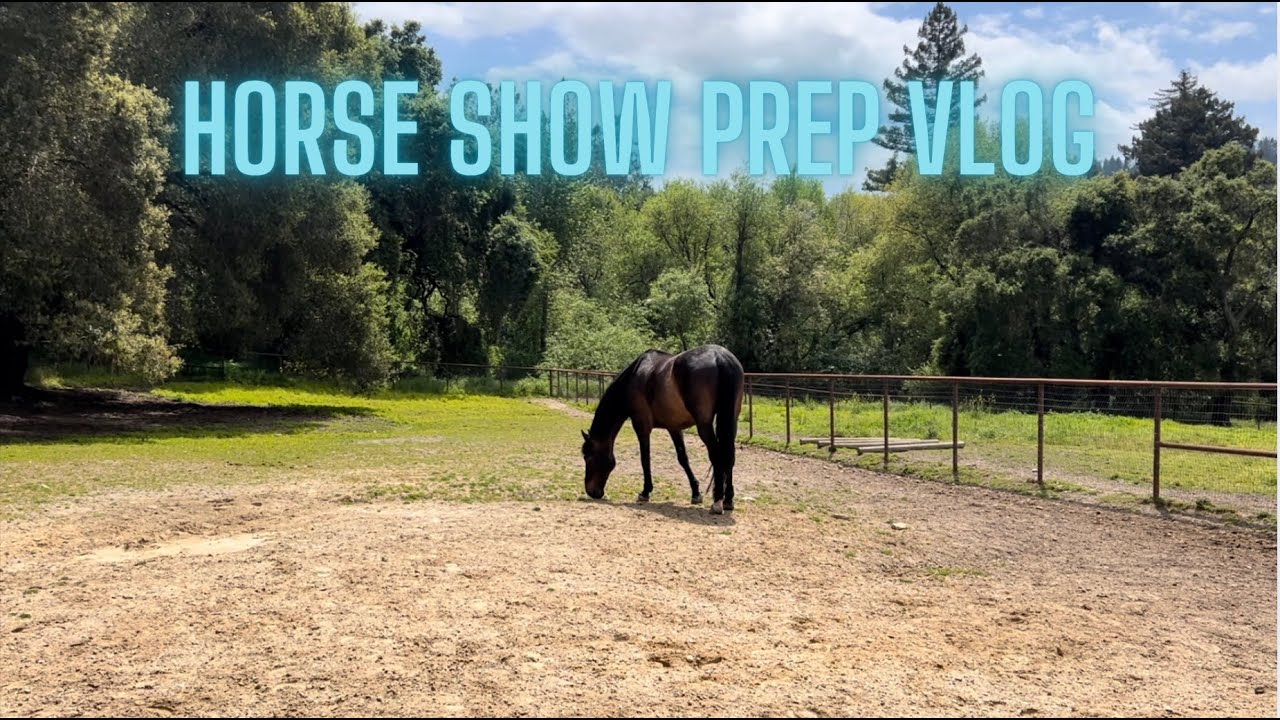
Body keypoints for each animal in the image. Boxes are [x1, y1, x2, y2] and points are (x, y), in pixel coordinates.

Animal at [579, 344, 745, 514]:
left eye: (587, 457)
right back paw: (728, 500)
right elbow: (683, 458)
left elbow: (645, 459)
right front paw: (695, 493)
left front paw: (645, 492)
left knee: (717, 456)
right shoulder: (674, 427)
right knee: (729, 457)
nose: (591, 491)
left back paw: (717, 502)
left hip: (704, 425)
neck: (633, 379)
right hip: (732, 421)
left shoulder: (641, 426)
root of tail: (720, 357)